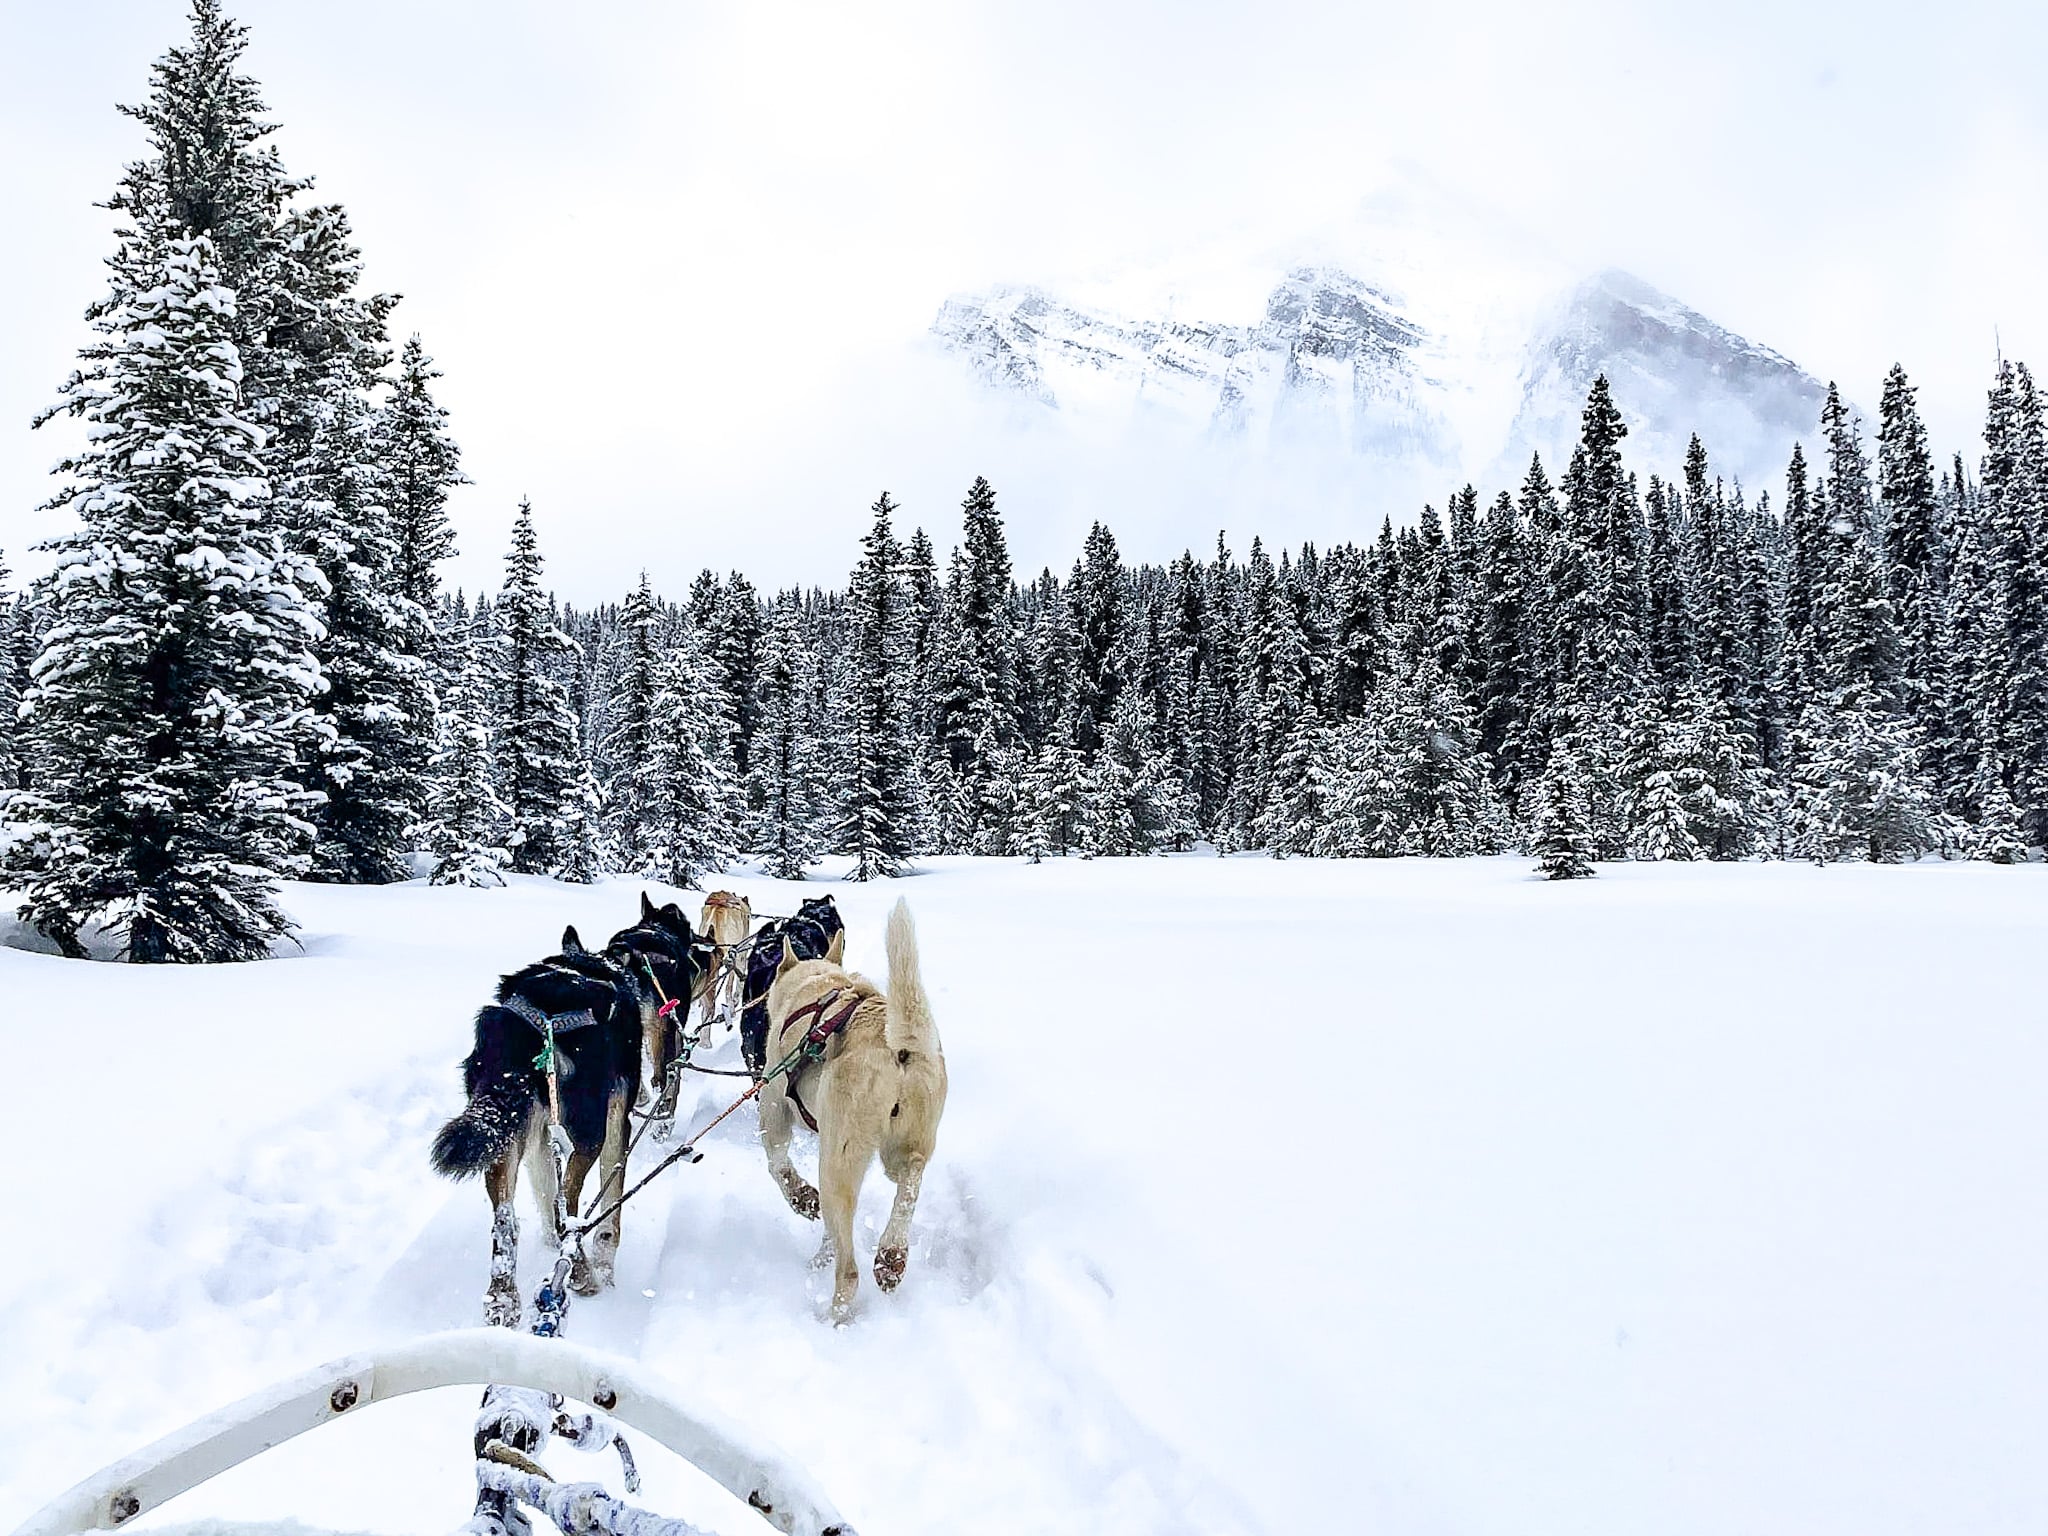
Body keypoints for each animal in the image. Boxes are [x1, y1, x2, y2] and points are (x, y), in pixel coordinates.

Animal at [428, 897, 700, 1327]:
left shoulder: (539, 1132)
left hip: (505, 1136)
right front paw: (603, 1261)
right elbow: (610, 1203)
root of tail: (538, 1016)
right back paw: (582, 1274)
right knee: (567, 1212)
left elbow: (543, 1186)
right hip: (588, 1131)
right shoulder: (624, 1107)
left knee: (506, 1221)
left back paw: (503, 1298)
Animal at [765, 901, 946, 1327]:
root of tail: (898, 1046)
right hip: (902, 1148)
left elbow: (778, 1165)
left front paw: (802, 1199)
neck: (815, 982)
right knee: (910, 1181)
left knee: (848, 1269)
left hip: (838, 1163)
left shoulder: (773, 1106)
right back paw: (891, 1256)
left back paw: (835, 1317)